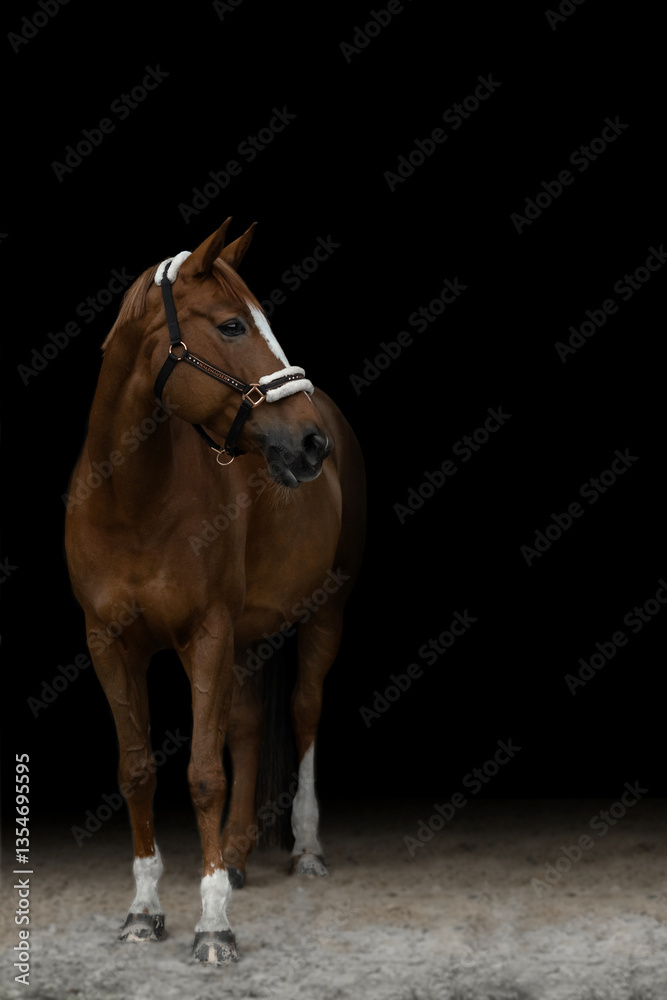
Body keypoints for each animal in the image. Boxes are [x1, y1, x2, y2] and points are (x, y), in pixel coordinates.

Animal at [64, 218, 366, 965]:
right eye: (231, 324)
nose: (310, 443)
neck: (129, 498)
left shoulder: (205, 634)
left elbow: (204, 773)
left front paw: (212, 926)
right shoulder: (109, 643)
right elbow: (138, 770)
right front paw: (144, 912)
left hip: (325, 612)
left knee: (304, 711)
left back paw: (305, 849)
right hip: (248, 635)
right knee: (250, 725)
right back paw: (233, 854)